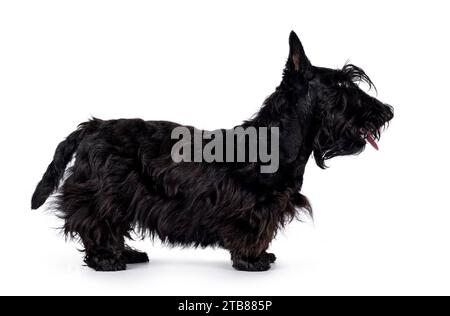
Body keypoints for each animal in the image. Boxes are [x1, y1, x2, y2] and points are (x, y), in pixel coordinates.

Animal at [31, 32, 392, 274]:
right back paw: (107, 259)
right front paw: (252, 260)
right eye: (342, 86)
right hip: (103, 193)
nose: (387, 111)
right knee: (94, 223)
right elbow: (251, 231)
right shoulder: (253, 206)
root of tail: (92, 126)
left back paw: (127, 254)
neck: (274, 140)